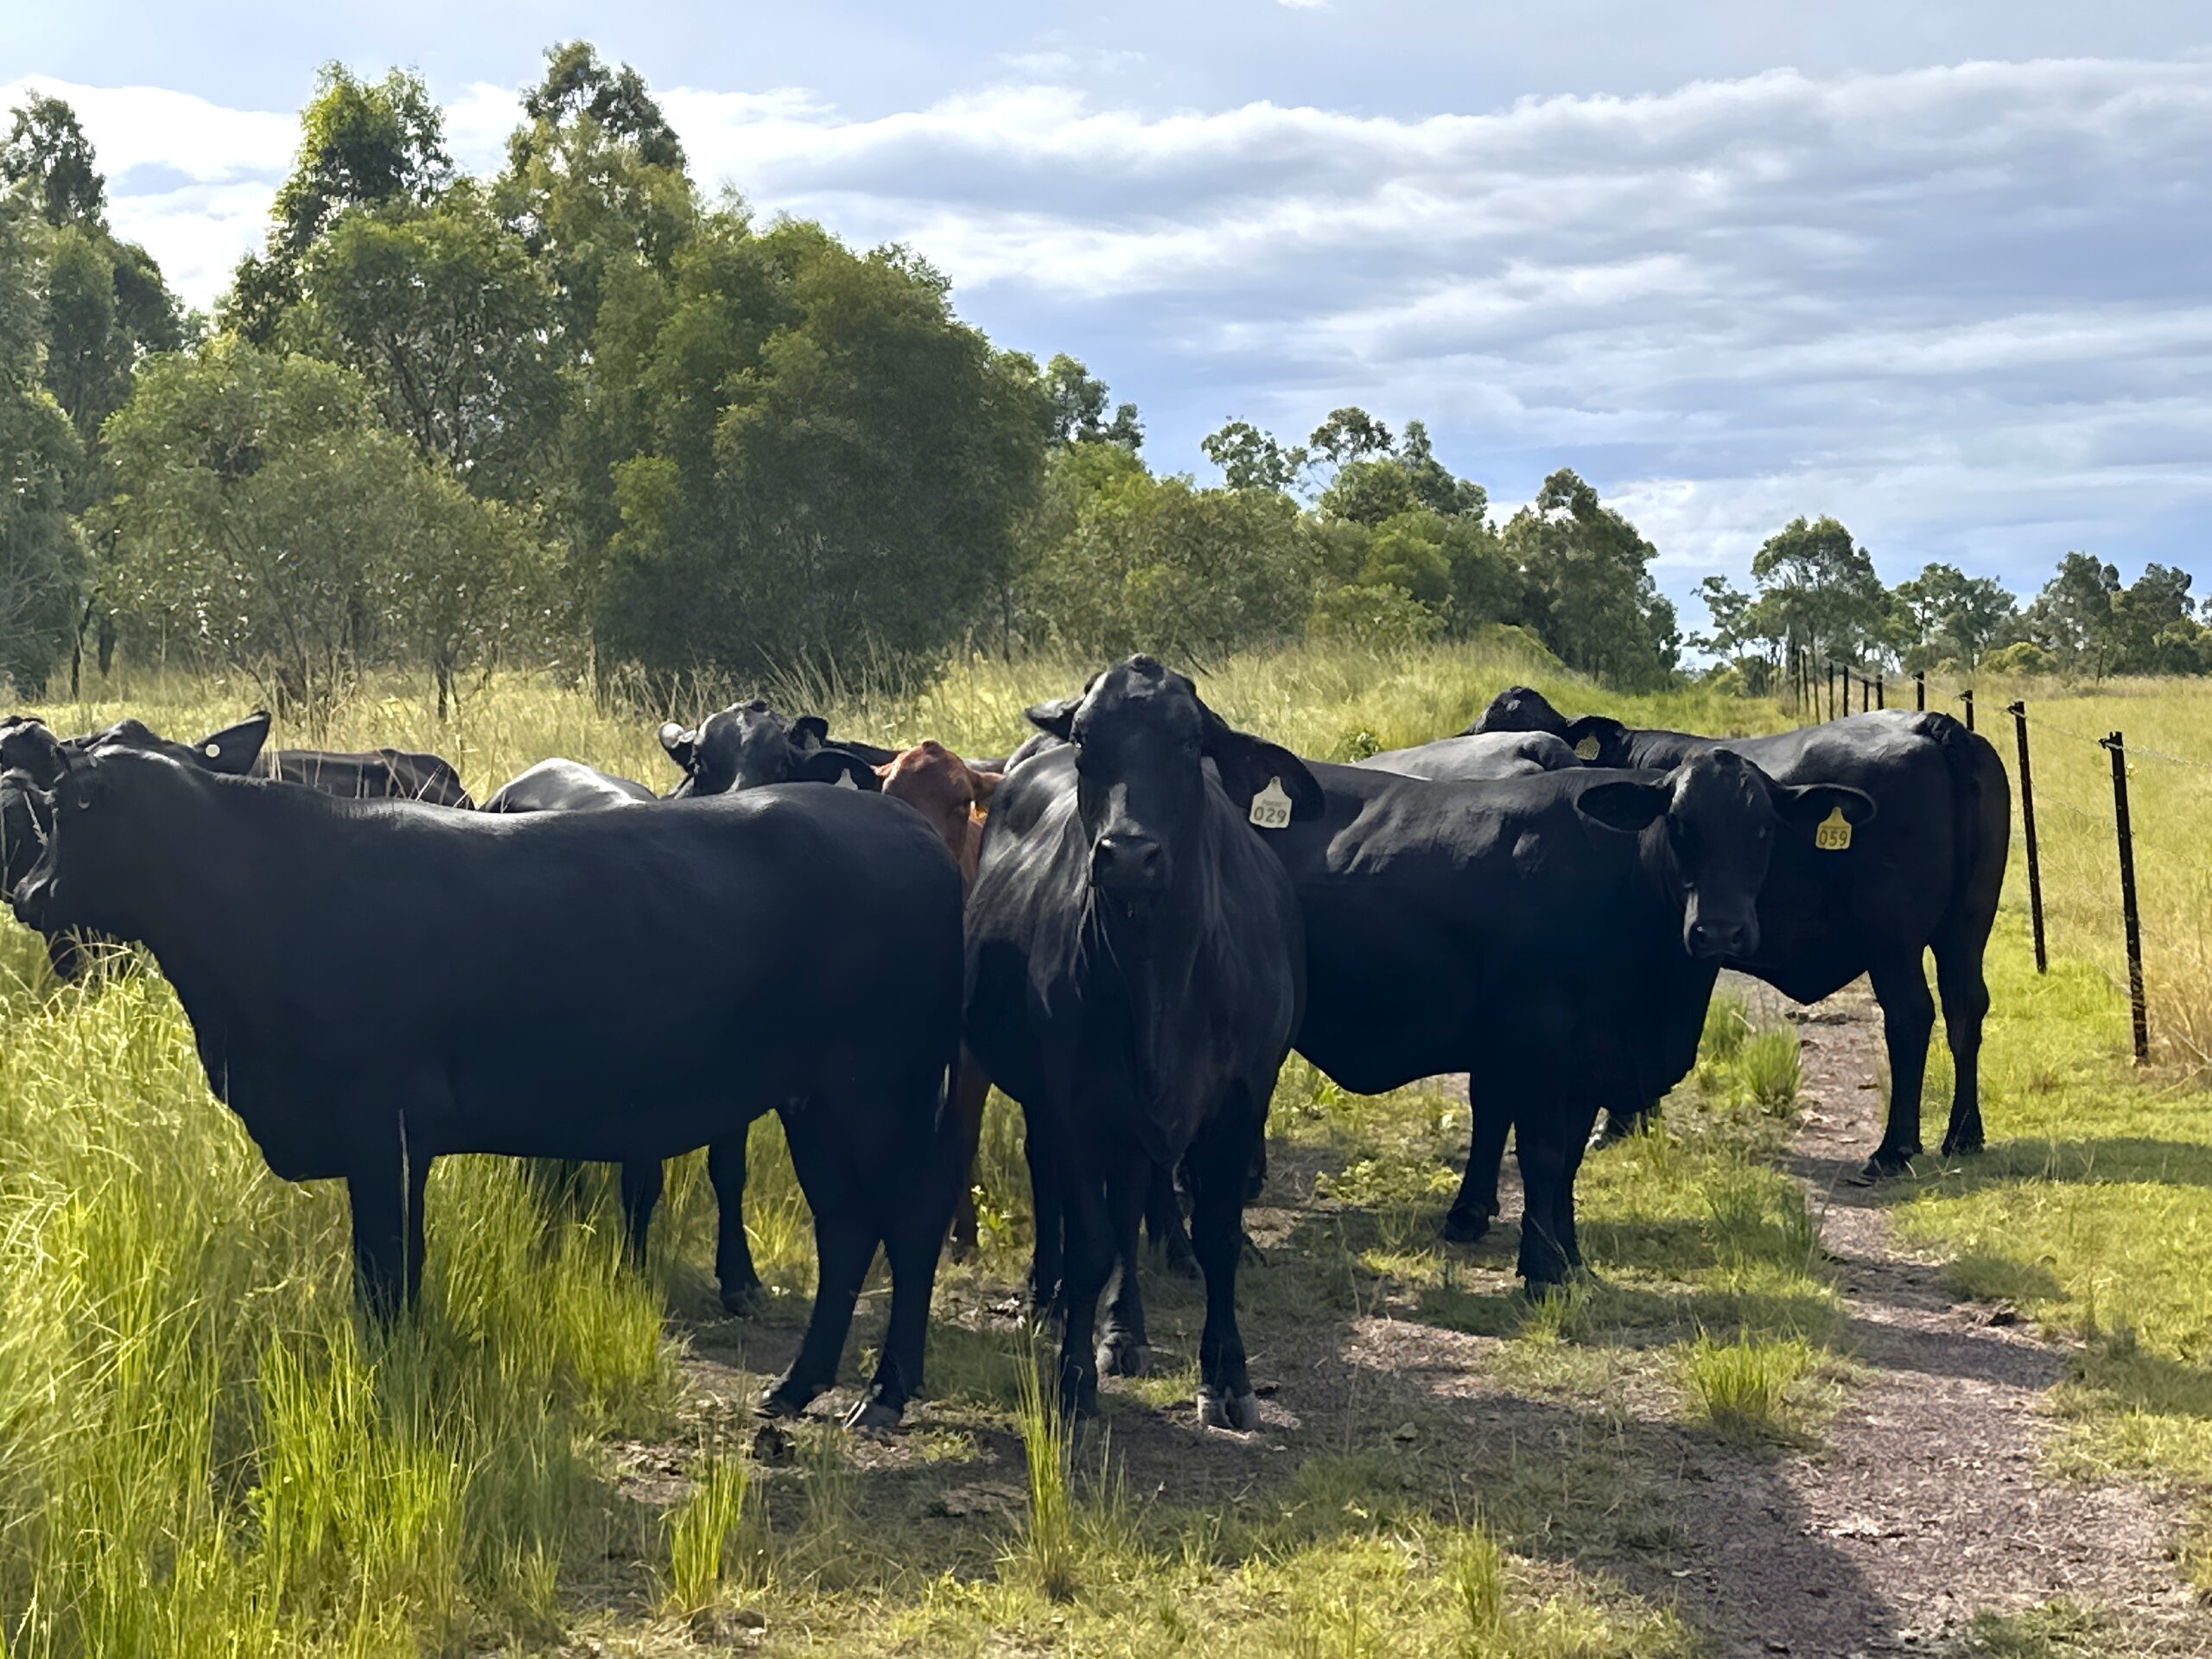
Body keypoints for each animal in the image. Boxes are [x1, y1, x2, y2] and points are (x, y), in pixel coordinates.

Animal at [12, 737, 966, 1427]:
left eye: (68, 812)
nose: (28, 894)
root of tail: (909, 833)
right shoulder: (397, 1146)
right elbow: (401, 1269)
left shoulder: (379, 1127)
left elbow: (383, 1276)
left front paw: (389, 1377)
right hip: (819, 1099)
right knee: (847, 1225)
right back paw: (799, 1387)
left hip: (882, 1086)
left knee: (911, 1214)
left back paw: (884, 1396)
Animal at [965, 657, 1315, 1428]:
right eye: (1087, 740)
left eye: (1189, 743)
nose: (1127, 855)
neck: (1156, 970)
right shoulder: (1071, 1095)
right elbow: (1092, 1241)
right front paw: (1072, 1377)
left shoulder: (1241, 1096)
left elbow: (1216, 1236)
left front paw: (1227, 1376)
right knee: (1061, 1186)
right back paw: (1050, 1295)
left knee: (1130, 1202)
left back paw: (1124, 1330)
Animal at [1262, 753, 1874, 1284]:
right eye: (1678, 824)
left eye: (1764, 828)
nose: (1720, 929)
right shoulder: (1540, 1040)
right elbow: (1544, 1153)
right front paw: (1541, 1269)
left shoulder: (1590, 1057)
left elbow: (1571, 1162)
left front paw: (1572, 1260)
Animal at [1468, 686, 2009, 1178]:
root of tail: (1932, 724)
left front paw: (1619, 1124)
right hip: (1967, 924)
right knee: (1966, 1007)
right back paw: (1963, 1135)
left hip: (1891, 936)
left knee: (1911, 1015)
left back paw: (1893, 1149)